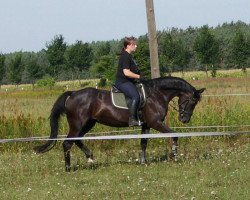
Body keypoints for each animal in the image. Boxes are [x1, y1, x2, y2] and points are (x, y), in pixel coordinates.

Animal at [33, 76, 205, 171]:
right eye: (191, 101)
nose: (185, 119)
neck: (156, 94)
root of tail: (72, 94)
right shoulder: (156, 123)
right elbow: (174, 135)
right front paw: (174, 153)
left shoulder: (146, 125)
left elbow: (143, 142)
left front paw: (143, 162)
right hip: (78, 124)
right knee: (67, 143)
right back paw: (68, 168)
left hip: (88, 124)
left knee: (77, 140)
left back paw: (90, 157)